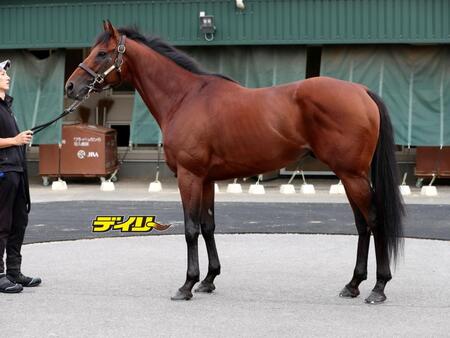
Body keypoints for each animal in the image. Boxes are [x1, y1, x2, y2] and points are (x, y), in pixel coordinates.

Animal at [66, 22, 404, 304]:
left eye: (102, 53)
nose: (70, 87)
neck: (185, 98)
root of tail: (361, 91)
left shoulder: (189, 176)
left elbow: (190, 229)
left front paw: (186, 286)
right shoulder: (206, 179)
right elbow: (208, 226)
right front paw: (208, 280)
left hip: (353, 175)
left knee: (375, 221)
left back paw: (378, 288)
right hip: (349, 176)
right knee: (362, 225)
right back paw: (353, 285)